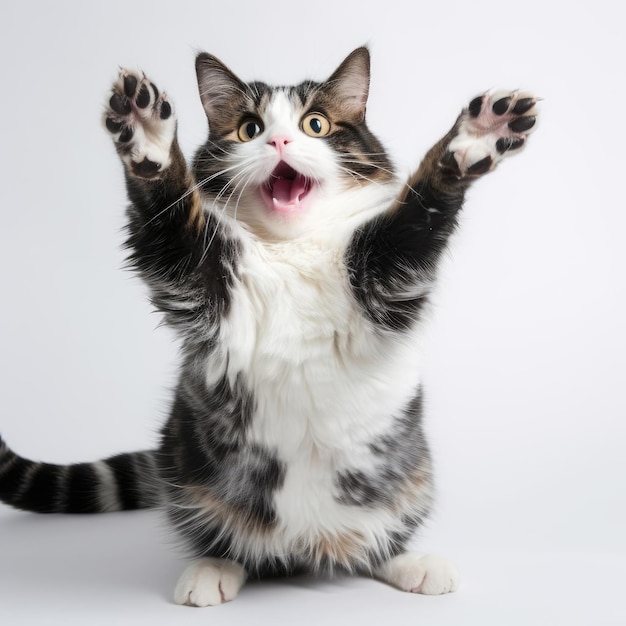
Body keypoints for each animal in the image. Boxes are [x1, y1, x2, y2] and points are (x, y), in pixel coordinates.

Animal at [0, 46, 536, 604]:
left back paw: (407, 561)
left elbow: (415, 220)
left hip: (414, 472)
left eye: (315, 124)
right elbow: (168, 221)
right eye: (249, 128)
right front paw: (145, 136)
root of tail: (313, 548)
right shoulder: (198, 284)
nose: (279, 140)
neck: (291, 249)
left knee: (377, 543)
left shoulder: (386, 283)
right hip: (188, 468)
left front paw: (473, 139)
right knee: (229, 541)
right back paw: (215, 567)